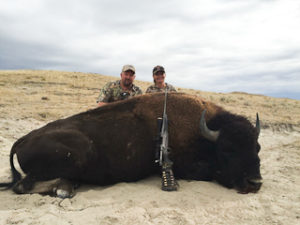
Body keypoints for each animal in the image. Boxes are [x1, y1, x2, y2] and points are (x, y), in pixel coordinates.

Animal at [0, 92, 262, 198]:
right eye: (227, 149)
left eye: (257, 148)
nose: (255, 183)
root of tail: (21, 140)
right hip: (79, 151)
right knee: (22, 186)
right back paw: (64, 189)